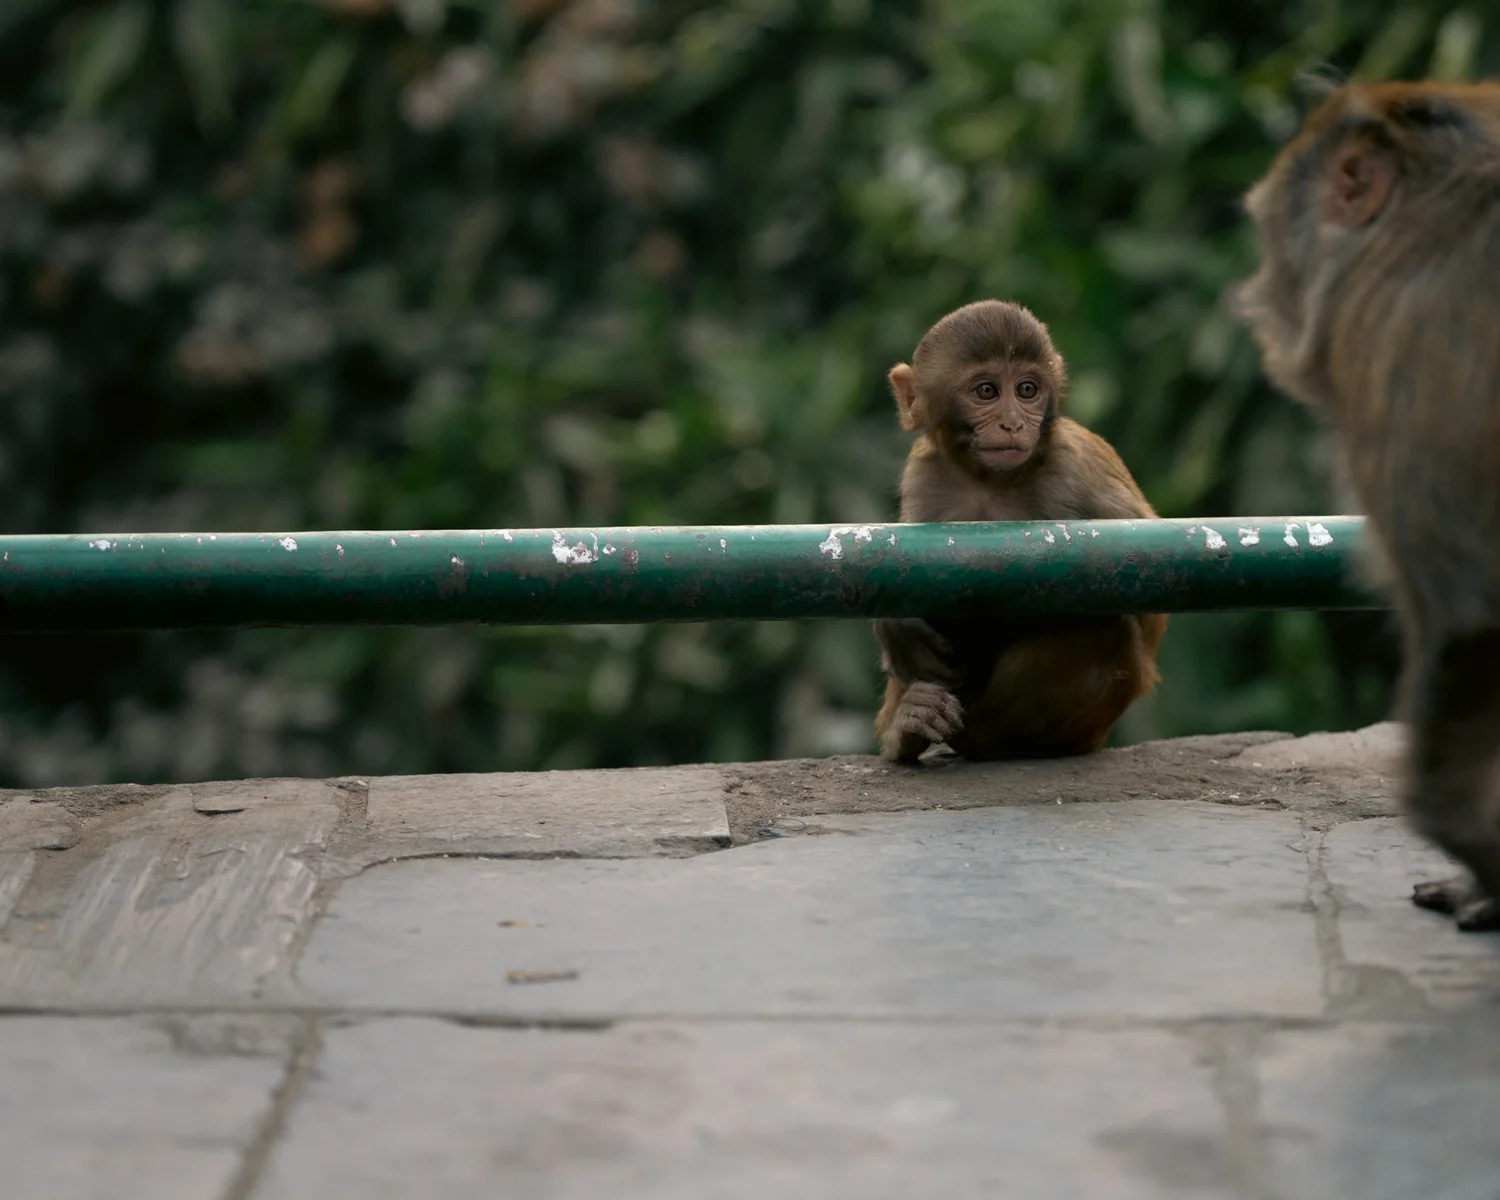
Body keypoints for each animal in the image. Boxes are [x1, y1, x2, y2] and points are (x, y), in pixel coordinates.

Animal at [872, 300, 1167, 764]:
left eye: (1027, 390)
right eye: (987, 392)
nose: (1013, 424)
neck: (990, 483)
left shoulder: (1074, 468)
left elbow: (1150, 604)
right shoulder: (924, 476)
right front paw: (896, 627)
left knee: (1108, 628)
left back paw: (988, 738)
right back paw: (908, 726)